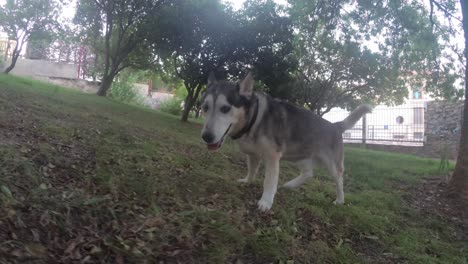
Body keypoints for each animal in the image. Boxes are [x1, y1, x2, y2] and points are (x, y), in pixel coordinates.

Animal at [201, 72, 372, 212]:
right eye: (205, 107)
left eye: (225, 108)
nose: (206, 137)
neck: (254, 119)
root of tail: (335, 125)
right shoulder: (253, 154)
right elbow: (252, 170)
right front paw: (247, 181)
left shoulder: (272, 156)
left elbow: (269, 181)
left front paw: (266, 202)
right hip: (297, 154)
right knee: (309, 172)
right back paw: (290, 185)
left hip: (331, 165)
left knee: (339, 181)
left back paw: (340, 200)